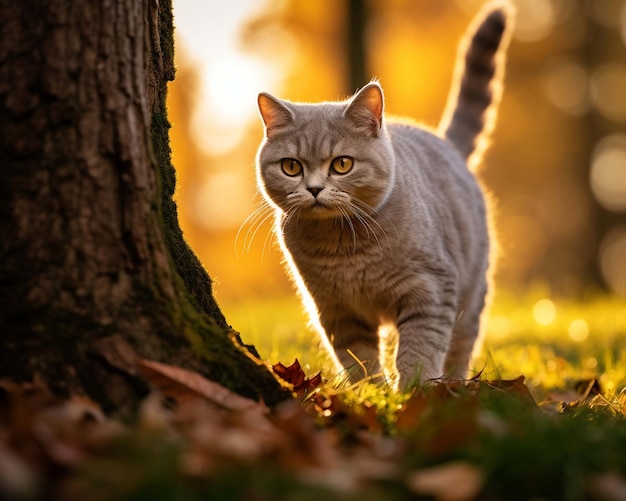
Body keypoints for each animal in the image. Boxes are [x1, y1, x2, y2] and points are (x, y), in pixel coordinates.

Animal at [254, 0, 512, 390]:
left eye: (342, 164)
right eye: (291, 167)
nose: (313, 189)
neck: (344, 248)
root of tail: (445, 142)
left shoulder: (431, 288)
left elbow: (419, 349)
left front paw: (414, 392)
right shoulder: (336, 309)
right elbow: (358, 359)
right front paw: (372, 393)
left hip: (472, 291)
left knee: (462, 344)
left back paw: (455, 385)